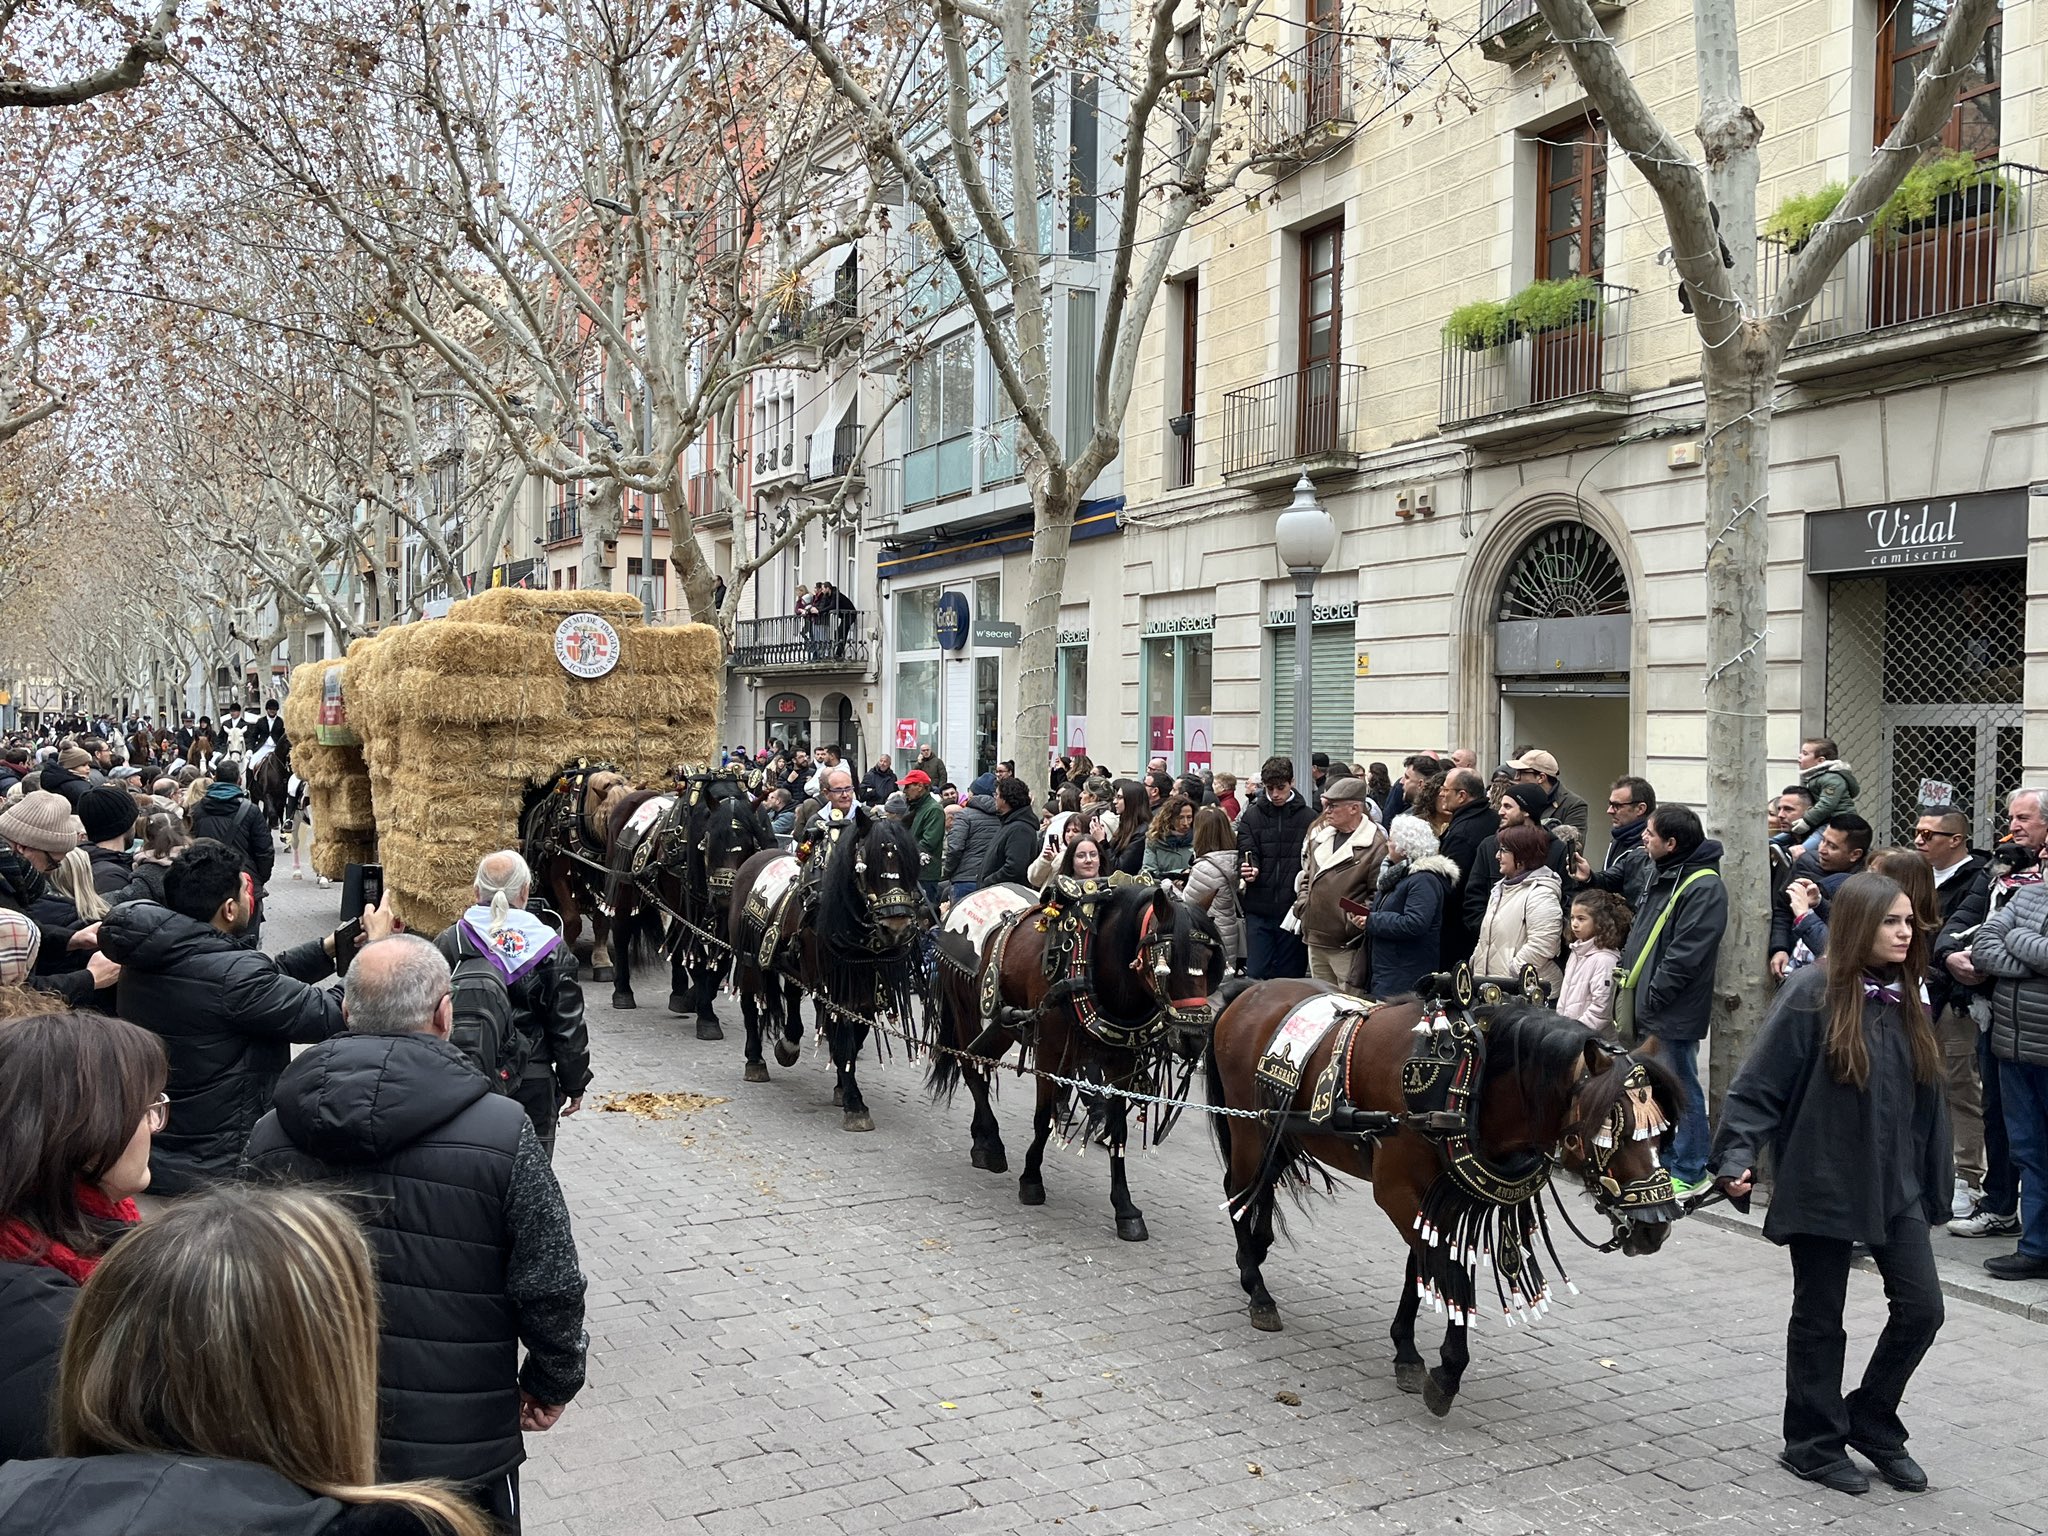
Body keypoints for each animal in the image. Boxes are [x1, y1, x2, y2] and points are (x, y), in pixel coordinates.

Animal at [724, 806, 925, 1130]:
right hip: (749, 958)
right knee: (750, 1003)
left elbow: (855, 1038)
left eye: (910, 863)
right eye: (866, 864)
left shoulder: (864, 986)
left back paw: (789, 1043)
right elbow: (843, 1039)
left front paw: (843, 1087)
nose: (896, 927)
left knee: (792, 997)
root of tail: (756, 858)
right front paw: (855, 1104)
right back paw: (755, 1060)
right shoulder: (835, 988)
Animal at [937, 884, 1220, 1245]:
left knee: (982, 1064)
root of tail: (975, 893)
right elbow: (1043, 1120)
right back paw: (991, 1145)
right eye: (1165, 964)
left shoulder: (1120, 1062)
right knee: (971, 1068)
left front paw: (1125, 1209)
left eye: (1209, 959)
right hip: (966, 1007)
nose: (1194, 1038)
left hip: (1002, 1025)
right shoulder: (1049, 1053)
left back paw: (982, 1138)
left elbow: (1118, 1131)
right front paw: (1031, 1179)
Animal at [1196, 978, 1679, 1425]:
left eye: (1661, 1131)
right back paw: (1257, 1288)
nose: (1655, 1226)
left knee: (1259, 1188)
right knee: (1236, 1188)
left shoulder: (1436, 1199)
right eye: (1610, 1131)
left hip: (1282, 1132)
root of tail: (1248, 990)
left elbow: (1422, 1269)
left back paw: (1256, 1249)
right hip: (1250, 1128)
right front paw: (1447, 1370)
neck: (1466, 1080)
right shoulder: (1398, 1193)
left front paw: (1407, 1351)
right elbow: (1451, 1274)